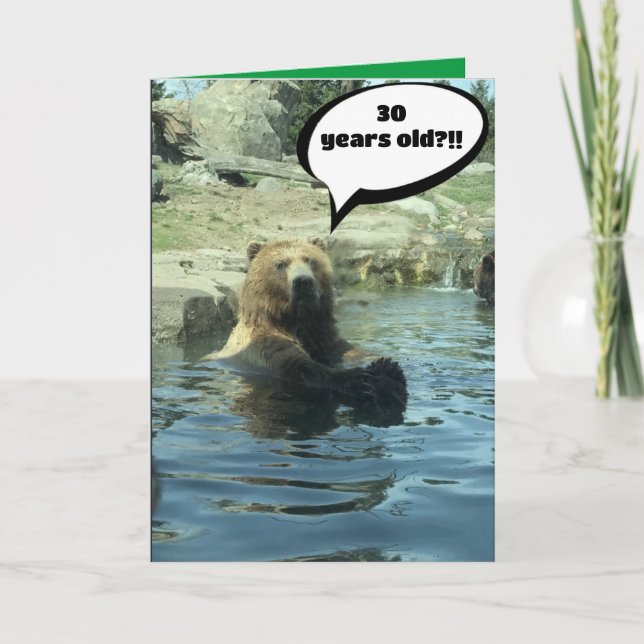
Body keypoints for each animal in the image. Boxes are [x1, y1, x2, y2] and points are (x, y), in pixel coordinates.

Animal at [211, 239, 407, 422]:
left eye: (310, 260)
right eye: (281, 264)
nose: (303, 281)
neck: (294, 322)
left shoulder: (324, 339)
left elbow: (352, 352)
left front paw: (388, 369)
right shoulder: (263, 347)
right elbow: (302, 367)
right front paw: (362, 380)